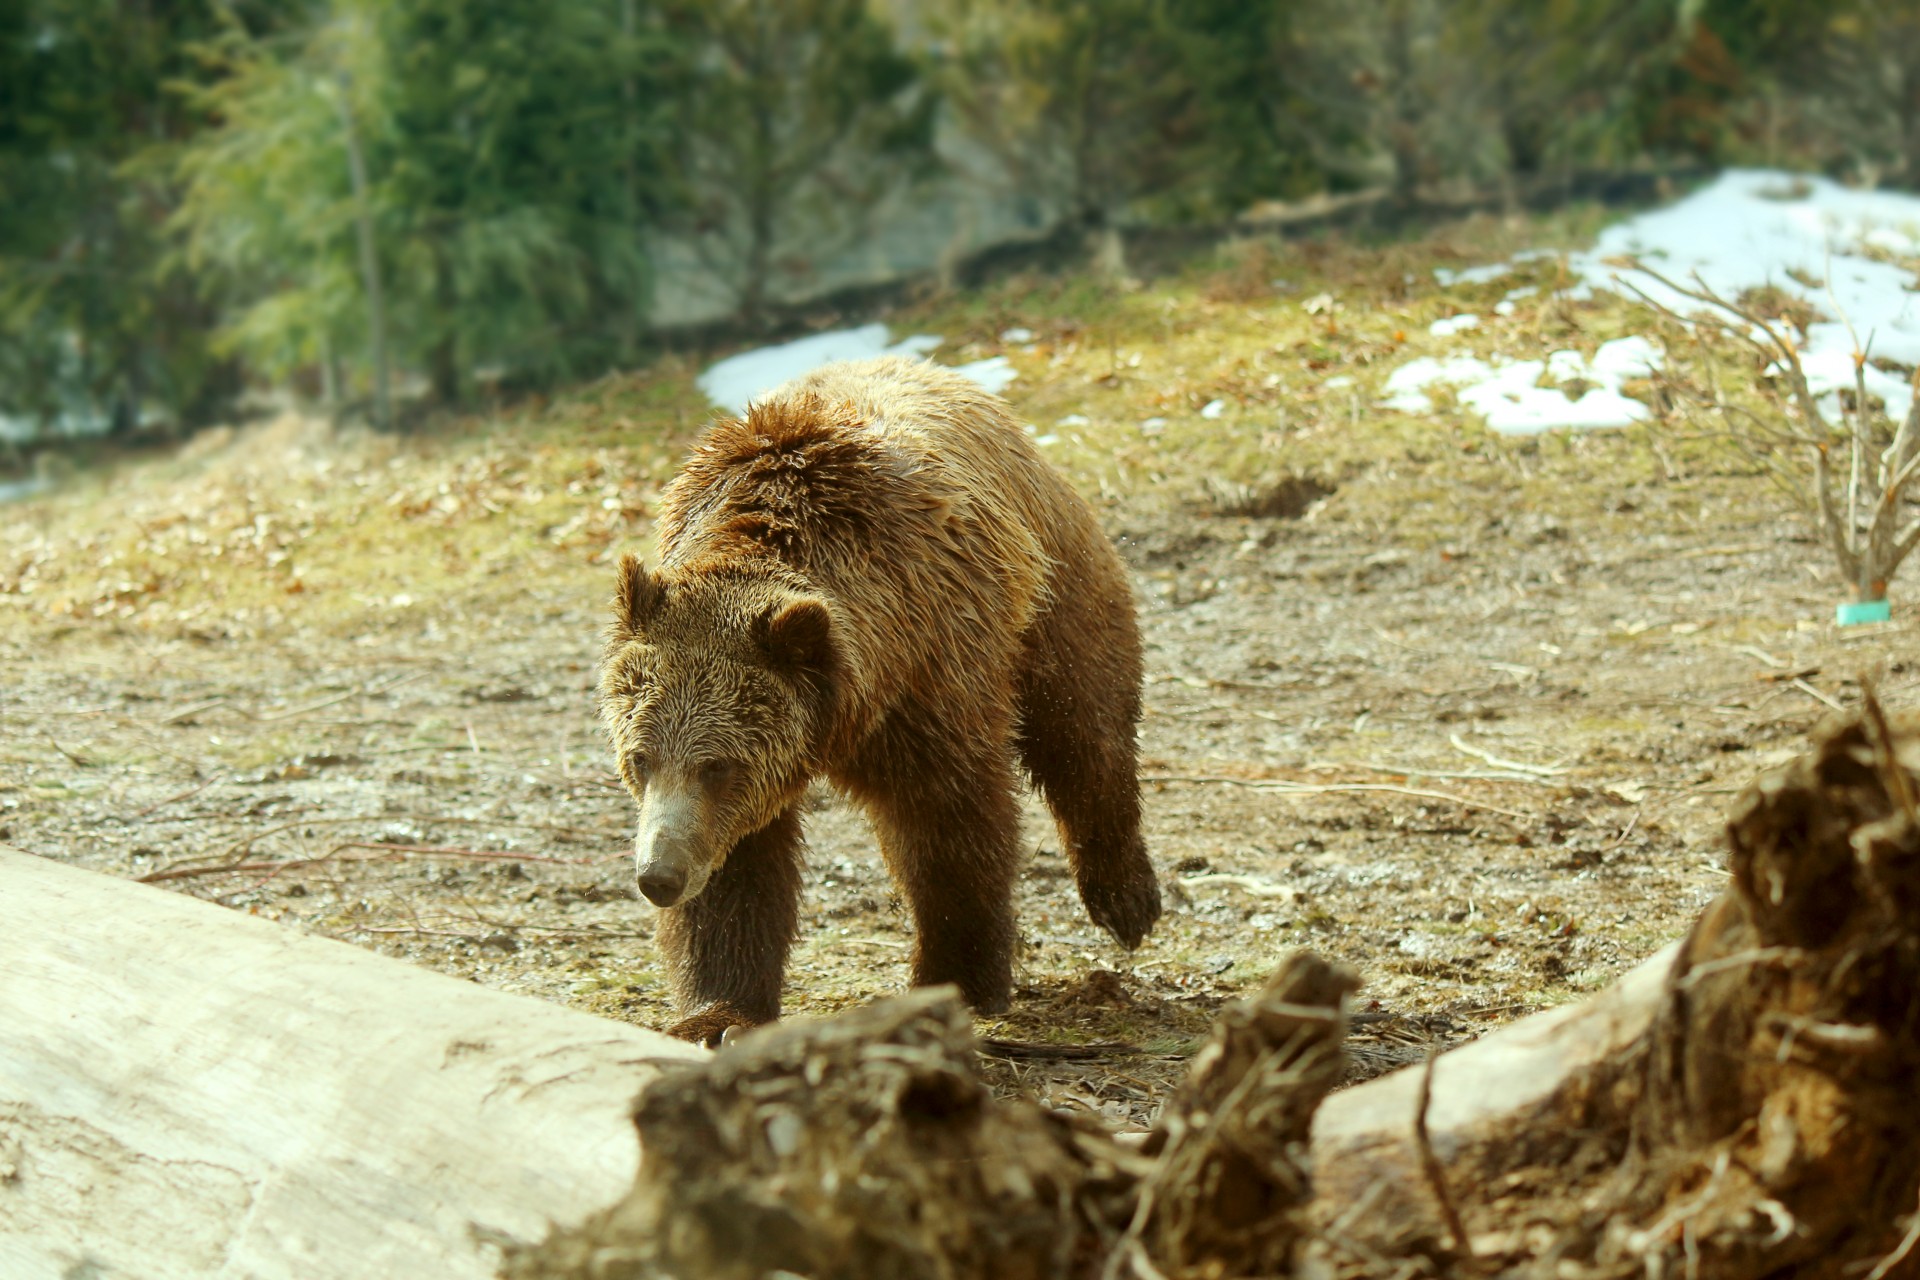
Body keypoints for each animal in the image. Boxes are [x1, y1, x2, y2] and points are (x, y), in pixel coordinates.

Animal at [599, 355, 1152, 1043]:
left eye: (718, 766)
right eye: (640, 759)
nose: (659, 876)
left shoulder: (929, 676)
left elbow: (951, 824)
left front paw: (958, 977)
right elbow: (738, 875)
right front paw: (716, 1013)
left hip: (1054, 591)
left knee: (1085, 728)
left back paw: (1127, 899)